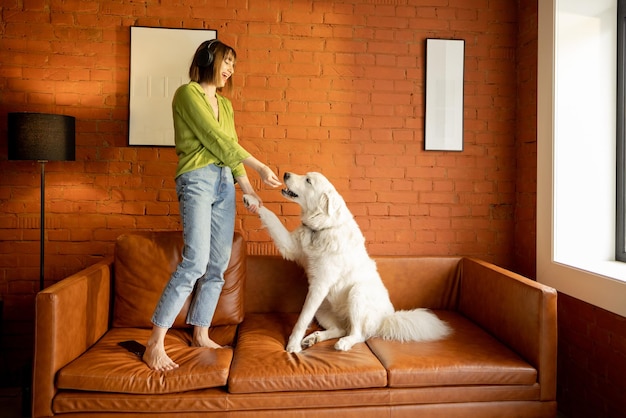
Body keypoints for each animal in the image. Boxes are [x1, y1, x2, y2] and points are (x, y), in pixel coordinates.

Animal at [243, 172, 448, 352]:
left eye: (308, 180)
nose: (285, 174)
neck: (322, 228)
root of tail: (387, 318)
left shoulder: (319, 286)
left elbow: (302, 319)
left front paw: (292, 346)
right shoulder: (291, 247)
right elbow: (271, 215)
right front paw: (251, 200)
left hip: (357, 292)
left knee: (358, 334)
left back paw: (343, 343)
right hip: (323, 307)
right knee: (341, 329)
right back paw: (314, 338)